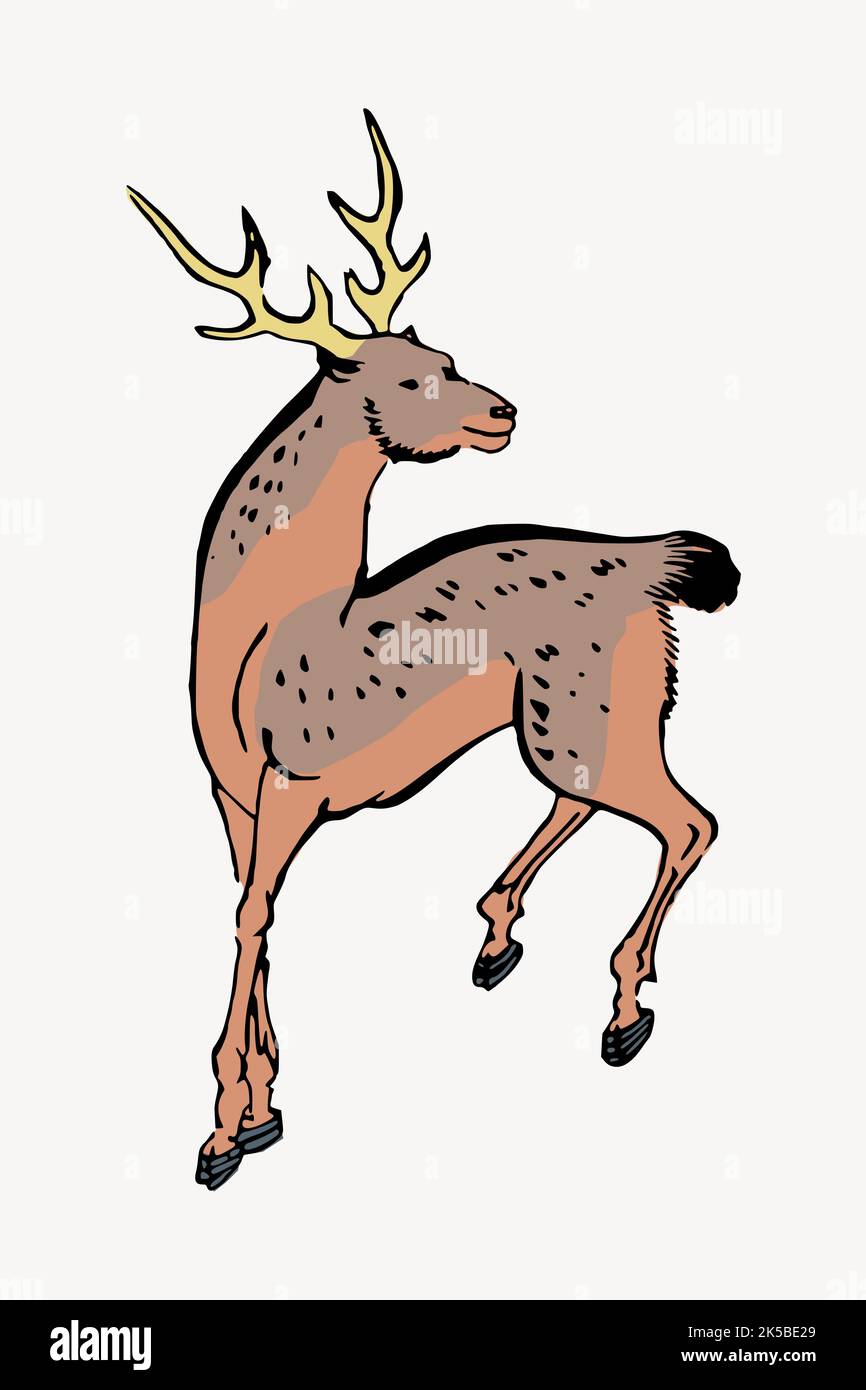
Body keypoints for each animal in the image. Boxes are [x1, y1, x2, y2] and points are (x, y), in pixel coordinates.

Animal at [128, 111, 740, 1189]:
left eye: (446, 354)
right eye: (416, 373)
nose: (502, 410)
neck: (260, 641)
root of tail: (657, 563)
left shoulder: (295, 784)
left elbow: (251, 919)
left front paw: (221, 1132)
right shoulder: (233, 795)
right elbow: (253, 913)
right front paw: (263, 1109)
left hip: (578, 722)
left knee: (687, 820)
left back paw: (622, 1014)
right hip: (577, 721)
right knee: (596, 803)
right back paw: (496, 938)